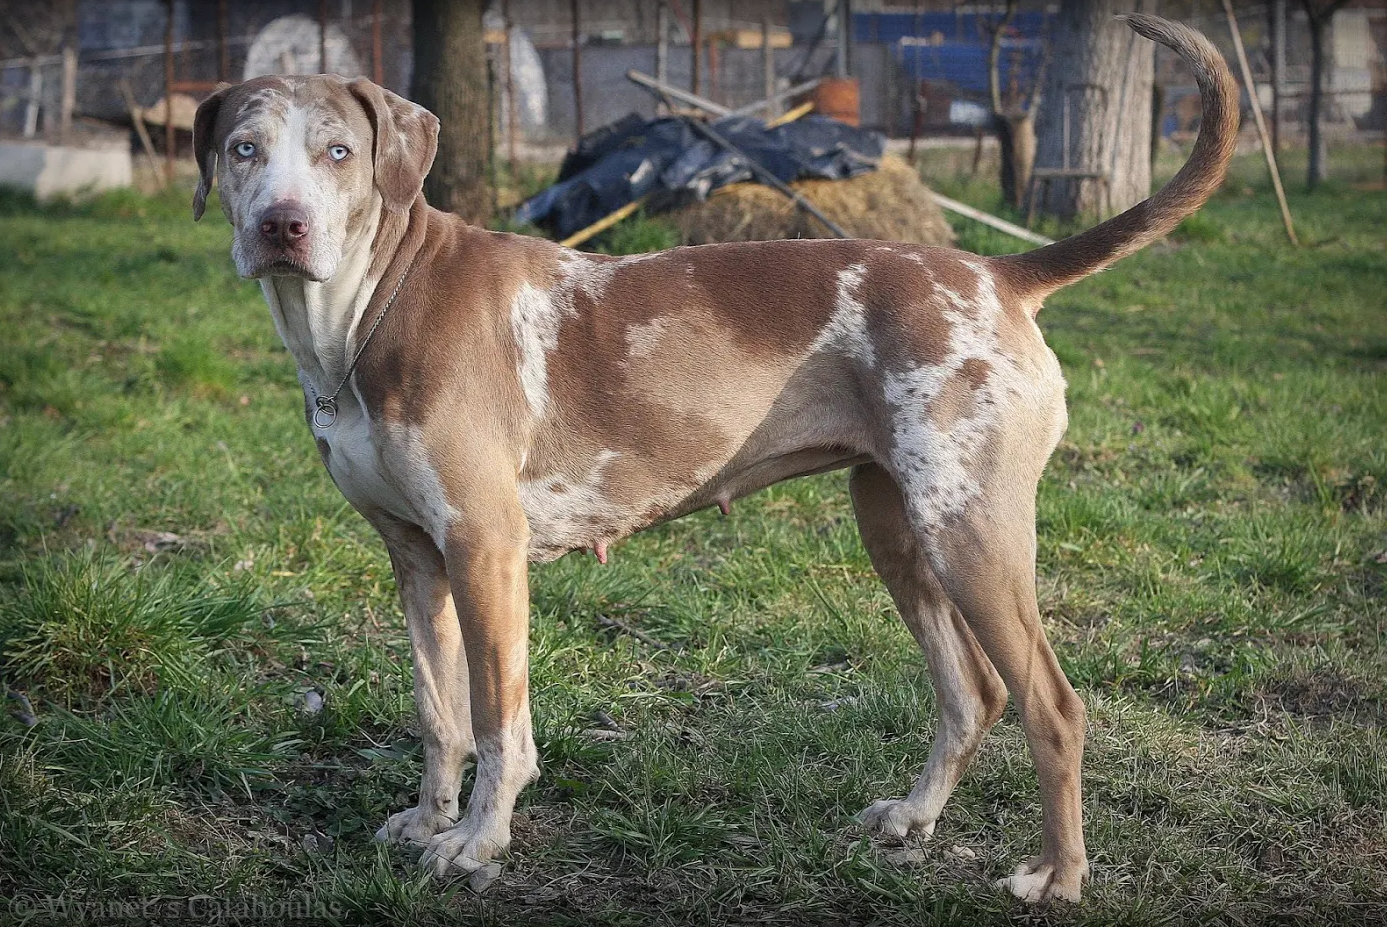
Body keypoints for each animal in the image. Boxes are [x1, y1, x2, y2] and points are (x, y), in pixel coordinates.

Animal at [192, 12, 1237, 899]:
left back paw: (1057, 875)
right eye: (245, 150)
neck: (368, 310)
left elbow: (497, 723)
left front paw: (479, 842)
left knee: (1051, 706)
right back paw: (911, 818)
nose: (281, 224)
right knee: (971, 692)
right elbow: (436, 712)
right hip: (896, 527)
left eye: (338, 153)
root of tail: (995, 270)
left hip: (970, 534)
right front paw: (427, 818)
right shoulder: (416, 557)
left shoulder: (486, 550)